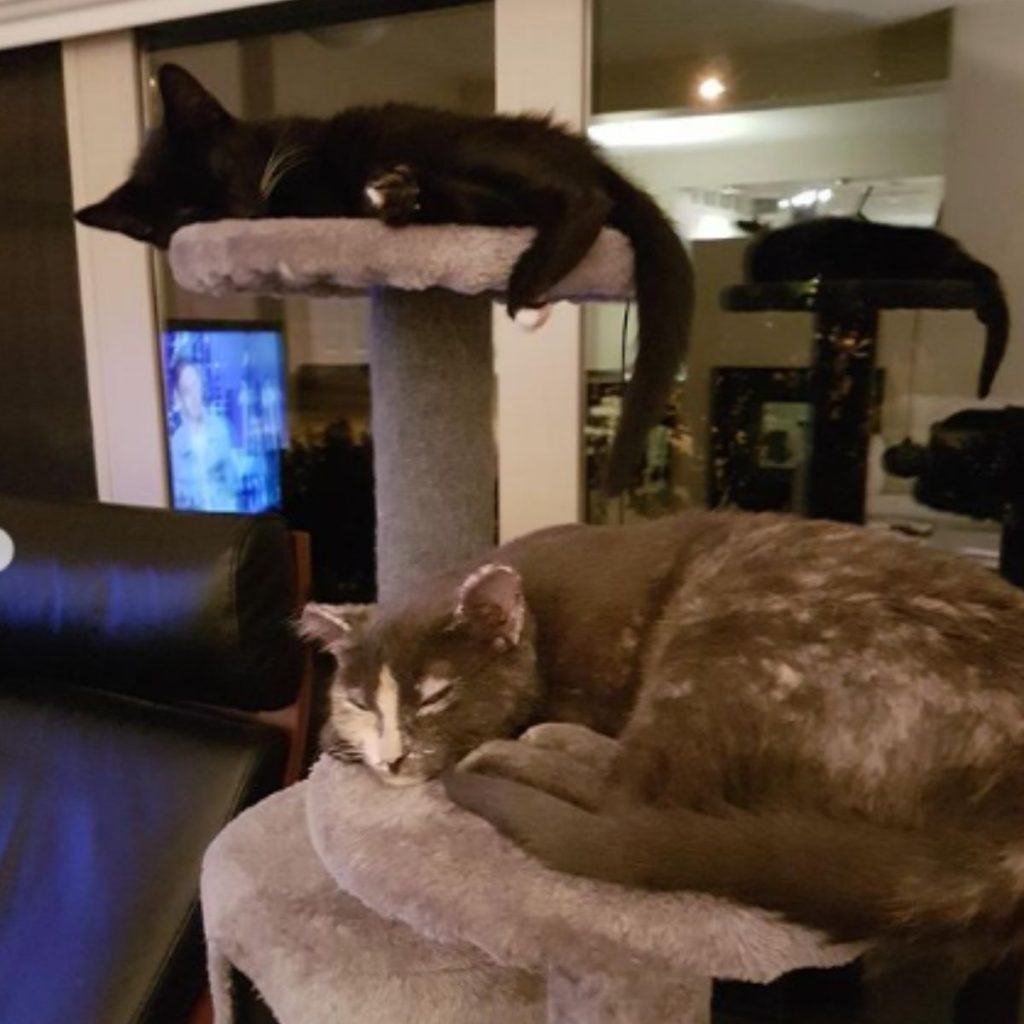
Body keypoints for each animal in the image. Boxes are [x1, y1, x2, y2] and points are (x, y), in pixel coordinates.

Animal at [75, 65, 692, 495]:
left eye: (222, 170)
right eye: (189, 216)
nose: (242, 215)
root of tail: (575, 143)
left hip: (452, 141)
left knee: (584, 198)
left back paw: (519, 267)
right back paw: (405, 199)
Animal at [299, 512, 1024, 966]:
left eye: (435, 695)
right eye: (359, 701)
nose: (392, 757)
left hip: (735, 637)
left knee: (638, 790)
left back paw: (526, 747)